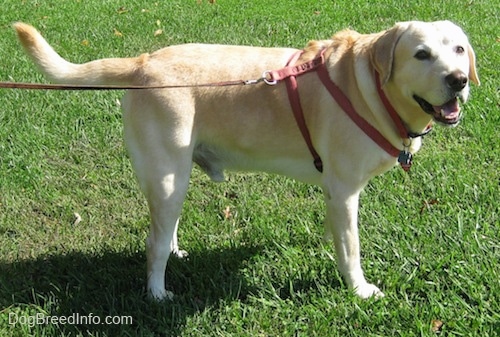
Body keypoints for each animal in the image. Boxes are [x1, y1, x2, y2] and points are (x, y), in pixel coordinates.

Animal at [13, 20, 478, 300]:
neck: (371, 88)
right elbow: (351, 250)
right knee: (153, 243)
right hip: (168, 175)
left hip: (174, 179)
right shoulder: (344, 193)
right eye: (421, 54)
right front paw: (359, 290)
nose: (458, 80)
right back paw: (158, 294)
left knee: (165, 227)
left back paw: (177, 253)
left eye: (458, 49)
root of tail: (143, 64)